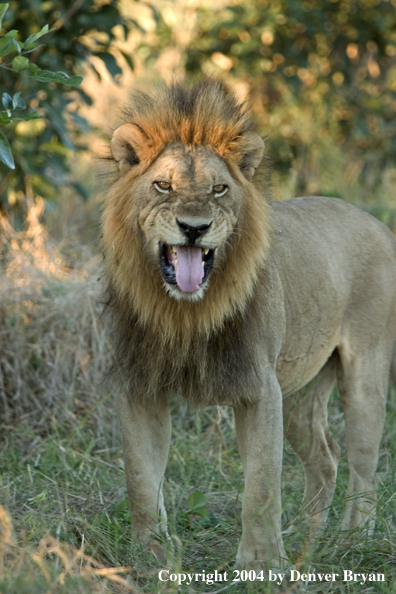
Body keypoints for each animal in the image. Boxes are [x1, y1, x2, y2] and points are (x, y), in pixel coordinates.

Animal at [100, 78, 396, 564]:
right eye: (162, 185)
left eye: (220, 189)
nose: (194, 228)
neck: (187, 312)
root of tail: (375, 221)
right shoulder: (139, 387)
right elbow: (141, 478)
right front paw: (152, 554)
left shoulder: (259, 389)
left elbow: (261, 485)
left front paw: (261, 561)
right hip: (301, 391)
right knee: (325, 458)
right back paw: (304, 537)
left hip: (364, 374)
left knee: (363, 465)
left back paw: (351, 538)